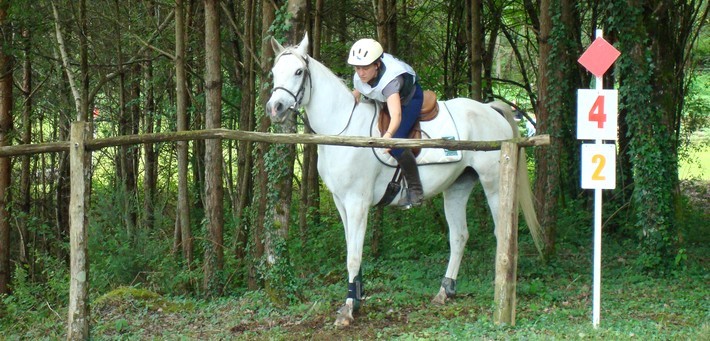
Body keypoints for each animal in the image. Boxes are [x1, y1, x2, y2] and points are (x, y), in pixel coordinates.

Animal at [268, 33, 544, 326]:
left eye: (298, 72)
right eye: (274, 72)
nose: (274, 108)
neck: (342, 130)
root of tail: (489, 110)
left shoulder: (357, 203)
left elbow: (353, 256)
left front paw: (348, 310)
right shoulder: (341, 203)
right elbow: (352, 250)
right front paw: (357, 299)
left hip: (494, 185)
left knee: (501, 233)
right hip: (457, 187)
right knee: (459, 235)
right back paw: (445, 291)